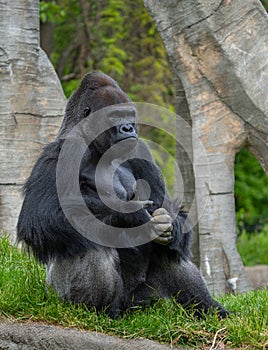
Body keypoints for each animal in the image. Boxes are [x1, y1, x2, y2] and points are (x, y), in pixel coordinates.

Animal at [16, 71, 227, 318]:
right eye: (115, 116)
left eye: (129, 116)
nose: (128, 128)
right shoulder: (63, 151)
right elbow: (40, 216)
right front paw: (131, 216)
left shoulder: (141, 148)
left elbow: (168, 208)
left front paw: (171, 225)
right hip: (63, 295)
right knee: (89, 239)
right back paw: (98, 311)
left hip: (143, 299)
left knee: (168, 252)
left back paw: (210, 309)